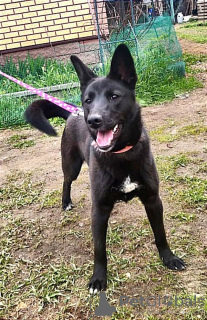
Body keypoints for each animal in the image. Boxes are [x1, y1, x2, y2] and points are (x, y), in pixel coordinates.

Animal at [24, 43, 186, 294]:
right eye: (88, 100)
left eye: (114, 96)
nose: (94, 120)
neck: (122, 154)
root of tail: (72, 112)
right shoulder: (99, 210)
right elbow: (99, 249)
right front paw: (98, 279)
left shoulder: (153, 200)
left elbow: (160, 234)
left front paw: (169, 258)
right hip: (72, 165)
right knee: (66, 180)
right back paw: (65, 202)